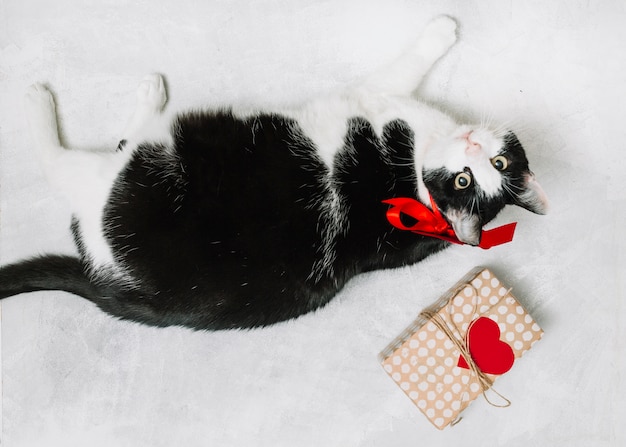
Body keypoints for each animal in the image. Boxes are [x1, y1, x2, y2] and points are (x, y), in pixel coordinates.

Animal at [0, 16, 544, 328]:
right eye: (475, 175)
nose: (474, 147)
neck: (415, 174)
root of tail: (115, 287)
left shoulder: (369, 95)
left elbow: (406, 64)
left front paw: (439, 32)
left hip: (137, 173)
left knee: (68, 164)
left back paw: (49, 101)